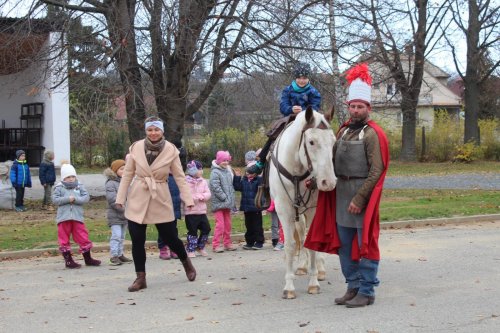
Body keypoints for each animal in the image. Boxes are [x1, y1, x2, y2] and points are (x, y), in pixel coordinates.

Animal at [270, 106, 336, 298]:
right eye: (311, 142)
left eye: (333, 141)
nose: (328, 182)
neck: (297, 171)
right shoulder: (284, 210)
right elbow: (291, 245)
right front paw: (289, 286)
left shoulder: (313, 209)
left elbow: (312, 242)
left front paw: (313, 283)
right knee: (301, 233)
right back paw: (300, 266)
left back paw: (320, 269)